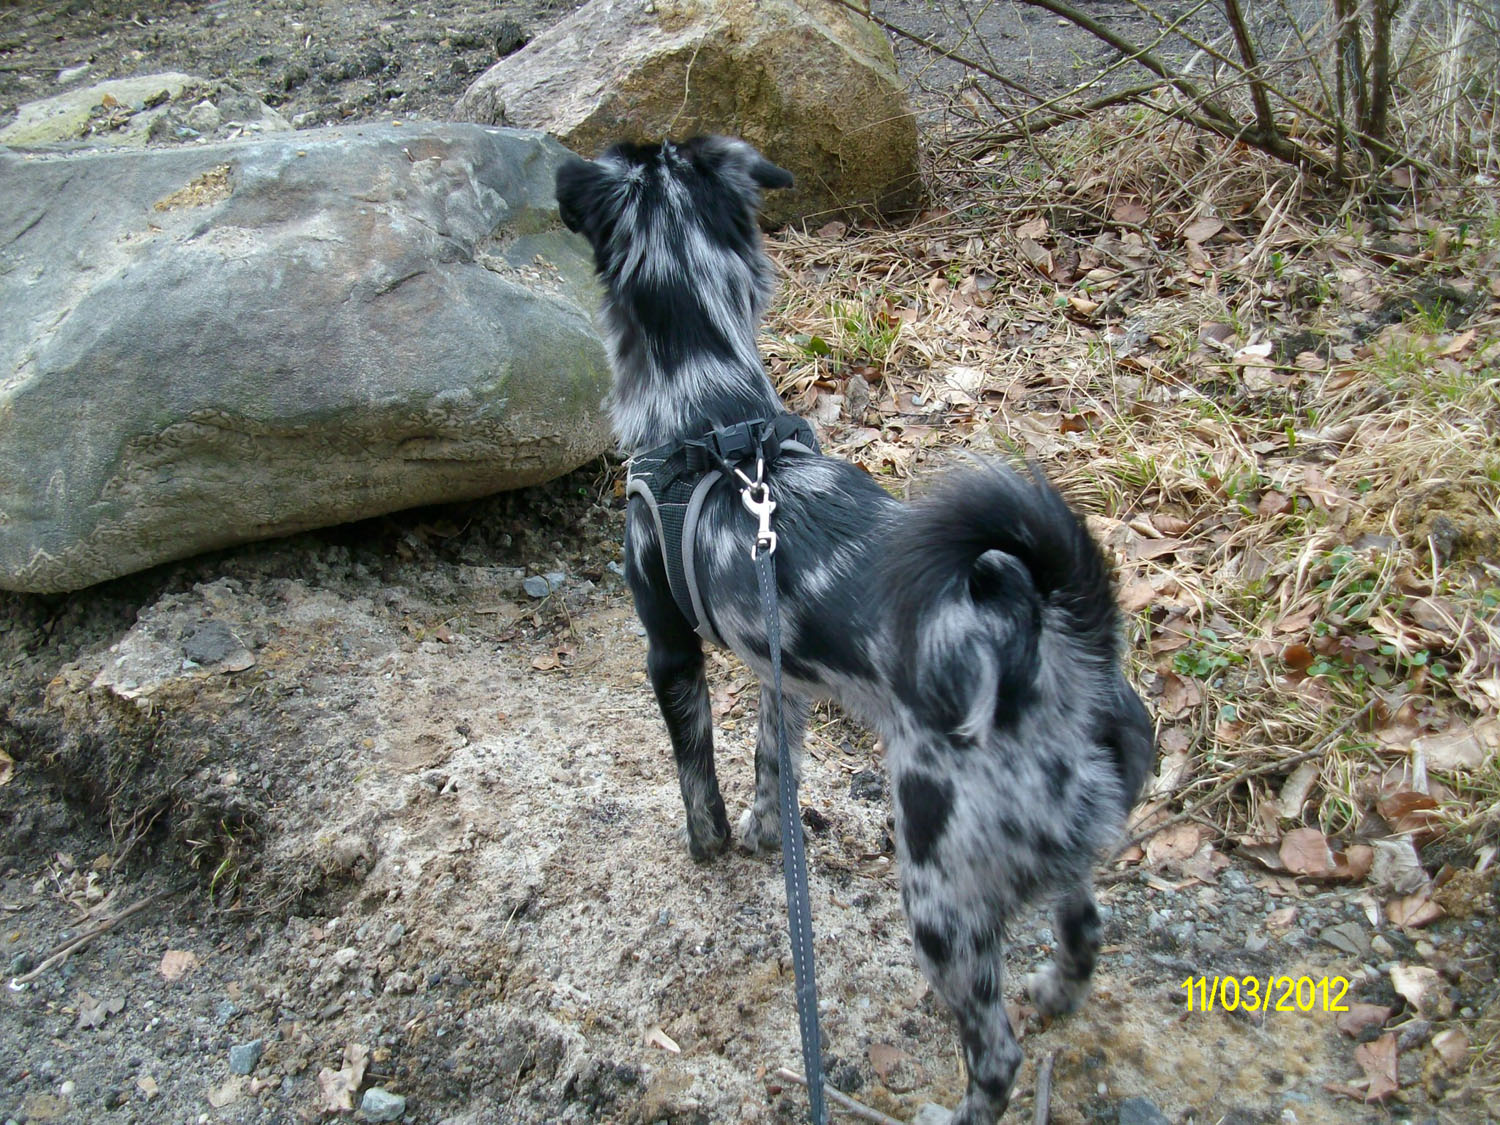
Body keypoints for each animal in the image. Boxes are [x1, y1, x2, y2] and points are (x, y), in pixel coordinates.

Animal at [558, 138, 1152, 1125]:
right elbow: (772, 765)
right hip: (1051, 859)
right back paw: (1055, 992)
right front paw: (769, 835)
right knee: (1085, 929)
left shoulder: (670, 652)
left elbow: (699, 778)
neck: (712, 416)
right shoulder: (781, 675)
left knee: (995, 1053)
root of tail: (1067, 654)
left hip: (942, 899)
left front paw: (710, 850)